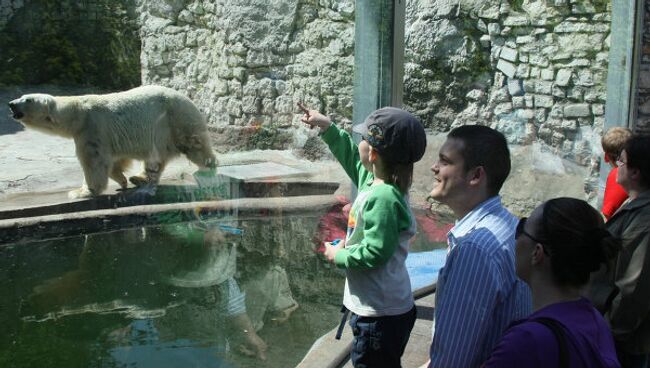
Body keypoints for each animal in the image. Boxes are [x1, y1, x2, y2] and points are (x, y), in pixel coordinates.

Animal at [8, 85, 215, 198]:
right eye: (22, 97)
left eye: (27, 99)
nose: (11, 104)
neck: (76, 113)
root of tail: (188, 99)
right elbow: (115, 160)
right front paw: (122, 180)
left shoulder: (92, 127)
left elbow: (94, 160)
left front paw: (81, 192)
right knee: (155, 158)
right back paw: (138, 178)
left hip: (176, 119)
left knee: (194, 144)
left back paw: (209, 166)